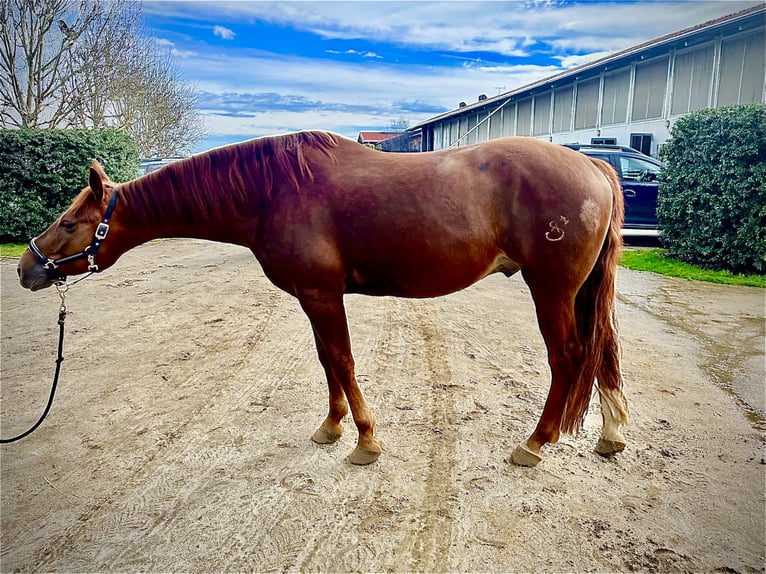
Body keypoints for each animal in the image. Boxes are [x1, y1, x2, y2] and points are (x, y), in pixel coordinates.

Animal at [17, 131, 629, 467]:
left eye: (70, 223)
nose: (26, 268)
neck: (271, 192)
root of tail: (592, 164)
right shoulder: (313, 297)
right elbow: (325, 360)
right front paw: (332, 427)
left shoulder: (321, 294)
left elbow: (341, 359)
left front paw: (365, 441)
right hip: (582, 291)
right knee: (604, 352)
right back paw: (611, 435)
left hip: (551, 289)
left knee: (568, 357)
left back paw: (536, 442)